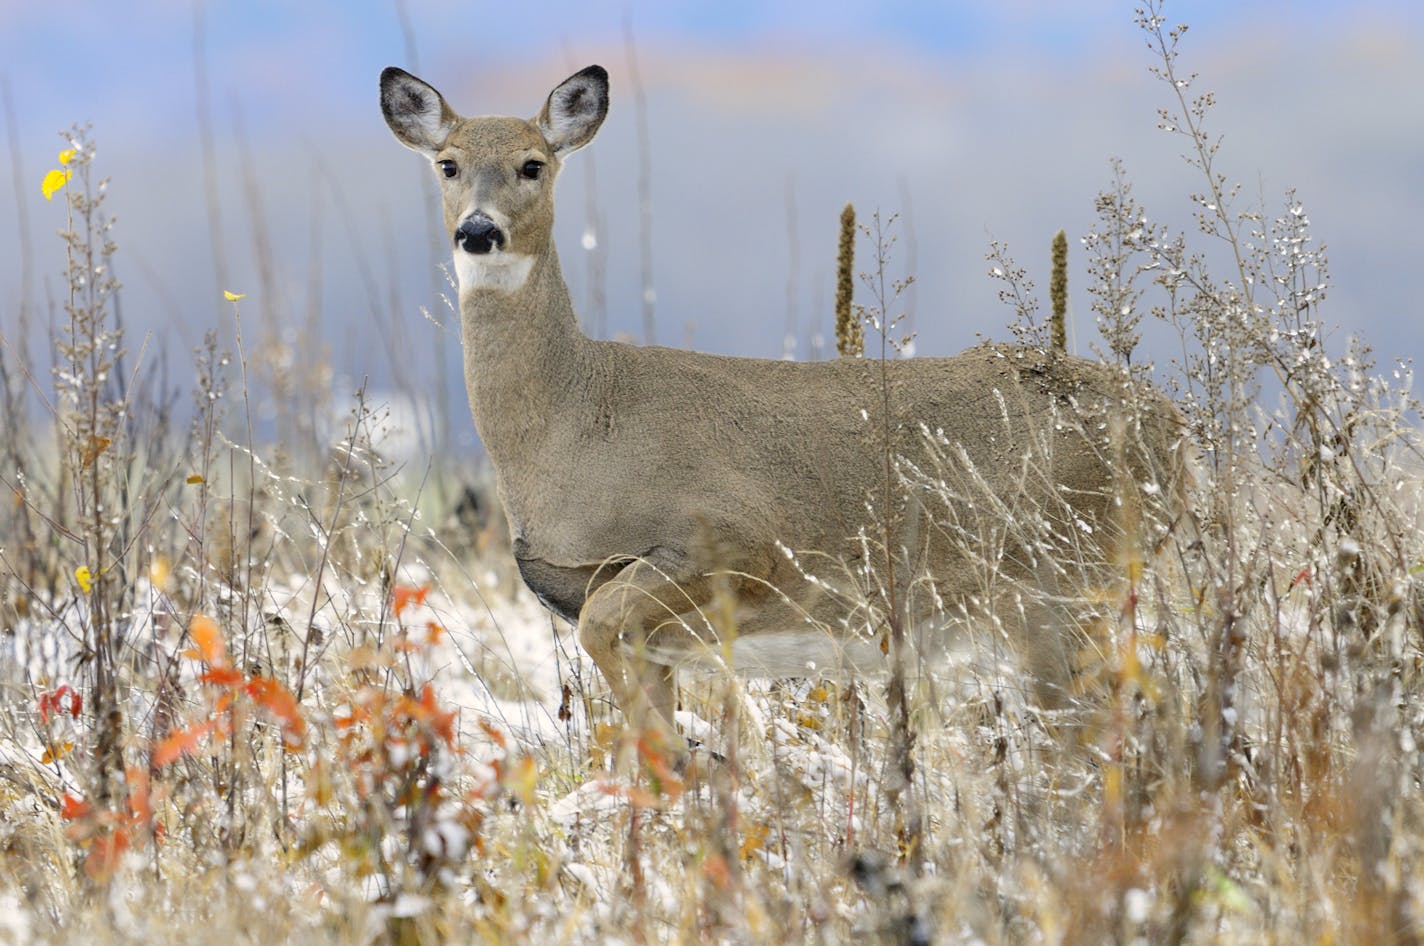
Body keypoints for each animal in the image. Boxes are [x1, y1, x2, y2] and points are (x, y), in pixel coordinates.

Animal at [375, 62, 1179, 757]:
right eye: (447, 164)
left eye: (533, 164)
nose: (479, 231)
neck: (573, 426)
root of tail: (1177, 429)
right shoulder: (646, 630)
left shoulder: (731, 535)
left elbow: (616, 654)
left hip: (1056, 581)